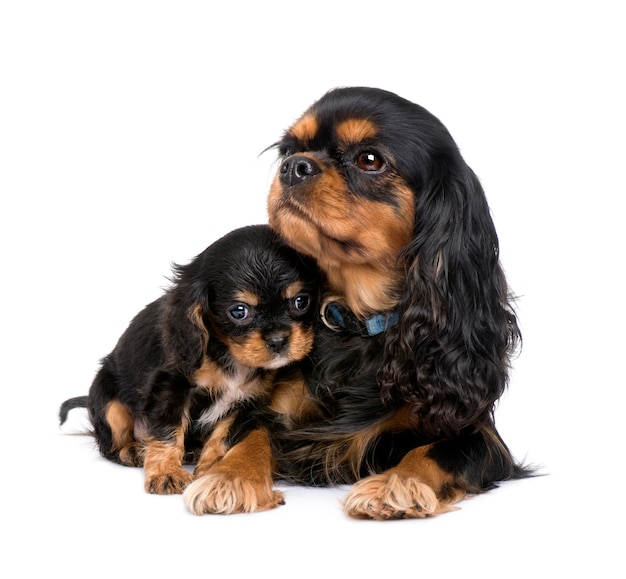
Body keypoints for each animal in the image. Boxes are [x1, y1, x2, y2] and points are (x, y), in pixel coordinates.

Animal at [61, 224, 320, 516]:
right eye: (239, 311)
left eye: (301, 302)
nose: (278, 341)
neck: (227, 353)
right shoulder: (171, 388)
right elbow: (167, 433)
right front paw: (166, 473)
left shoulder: (248, 400)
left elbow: (223, 435)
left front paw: (213, 468)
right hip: (108, 402)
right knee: (109, 444)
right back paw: (133, 450)